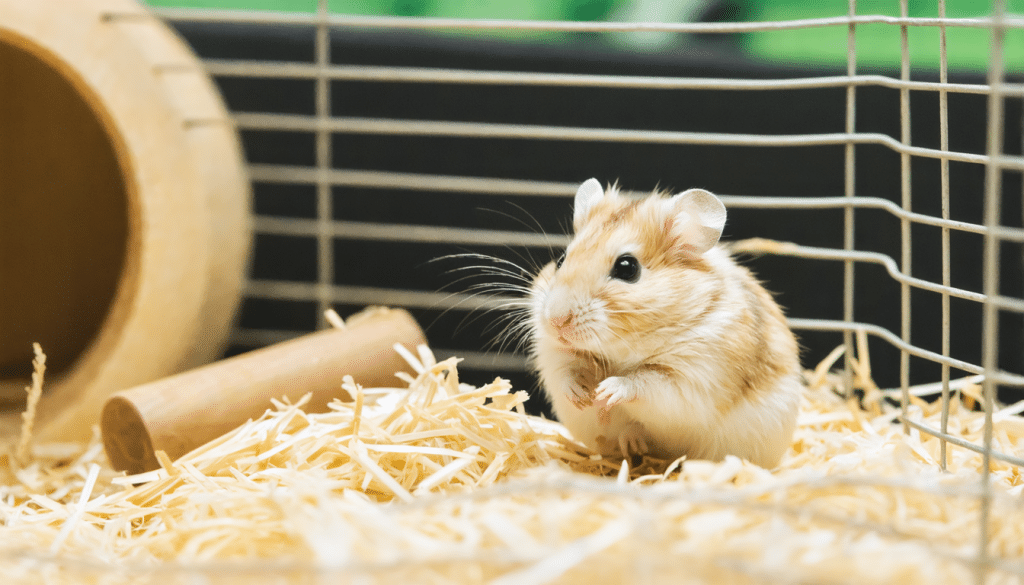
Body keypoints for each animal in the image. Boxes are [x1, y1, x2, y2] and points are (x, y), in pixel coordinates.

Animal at [529, 178, 802, 468]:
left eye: (627, 268)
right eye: (561, 260)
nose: (556, 321)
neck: (621, 352)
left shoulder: (692, 379)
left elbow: (644, 383)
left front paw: (606, 393)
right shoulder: (552, 352)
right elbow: (564, 370)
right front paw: (583, 397)